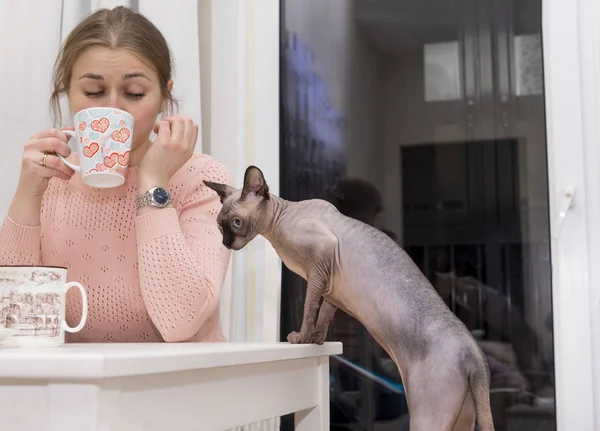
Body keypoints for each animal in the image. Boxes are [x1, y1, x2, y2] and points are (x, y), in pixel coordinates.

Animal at [204, 166, 494, 431]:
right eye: (219, 226)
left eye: (237, 223)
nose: (226, 243)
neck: (281, 219)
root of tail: (475, 352)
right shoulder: (330, 287)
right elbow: (323, 316)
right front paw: (317, 341)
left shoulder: (321, 260)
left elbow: (309, 308)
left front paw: (301, 338)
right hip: (461, 419)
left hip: (427, 419)